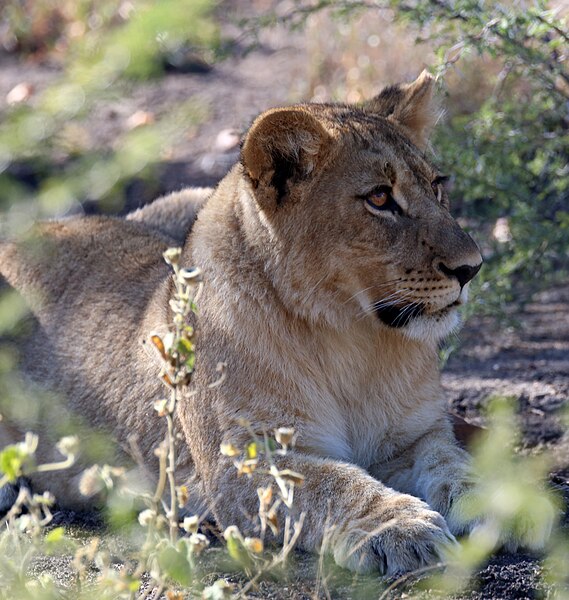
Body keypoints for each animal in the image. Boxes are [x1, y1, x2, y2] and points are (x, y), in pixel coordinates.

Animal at [0, 72, 552, 576]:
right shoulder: (244, 463)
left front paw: (507, 502)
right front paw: (400, 527)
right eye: (379, 198)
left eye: (437, 186)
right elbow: (334, 485)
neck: (355, 339)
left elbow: (454, 462)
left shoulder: (415, 435)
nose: (471, 267)